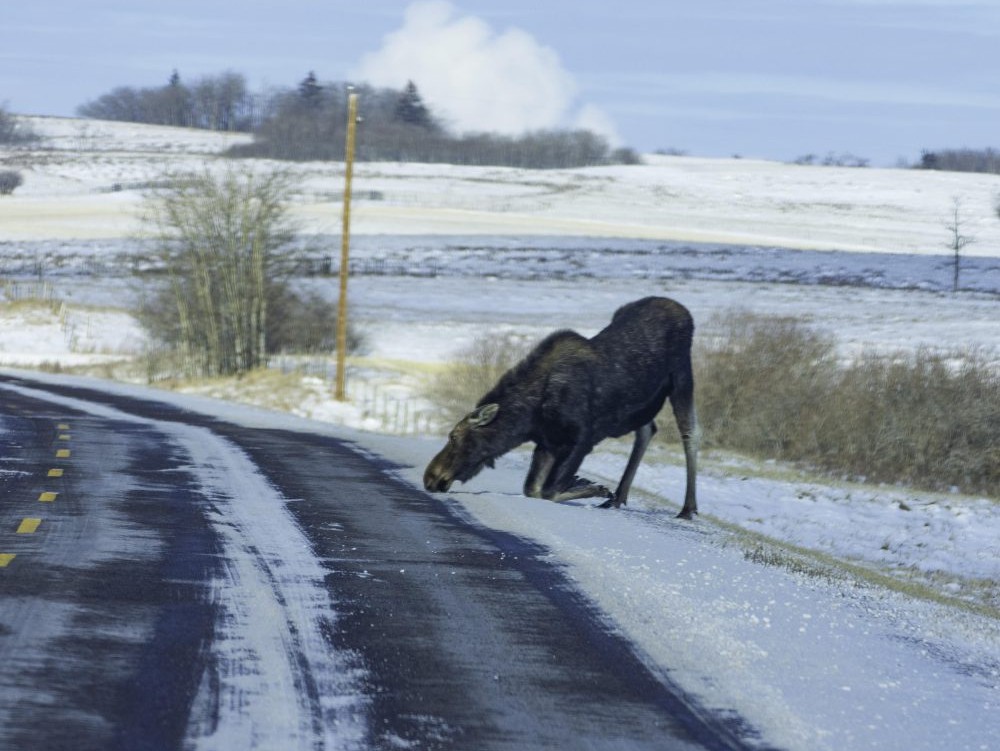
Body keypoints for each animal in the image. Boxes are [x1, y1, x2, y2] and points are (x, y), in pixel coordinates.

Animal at [426, 296, 700, 520]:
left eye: (453, 437)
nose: (430, 477)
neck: (529, 417)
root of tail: (684, 310)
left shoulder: (581, 438)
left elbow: (548, 490)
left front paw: (593, 486)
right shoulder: (547, 442)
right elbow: (533, 489)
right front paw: (588, 486)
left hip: (681, 375)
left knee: (690, 433)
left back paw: (687, 509)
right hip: (643, 405)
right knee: (647, 430)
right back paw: (619, 497)